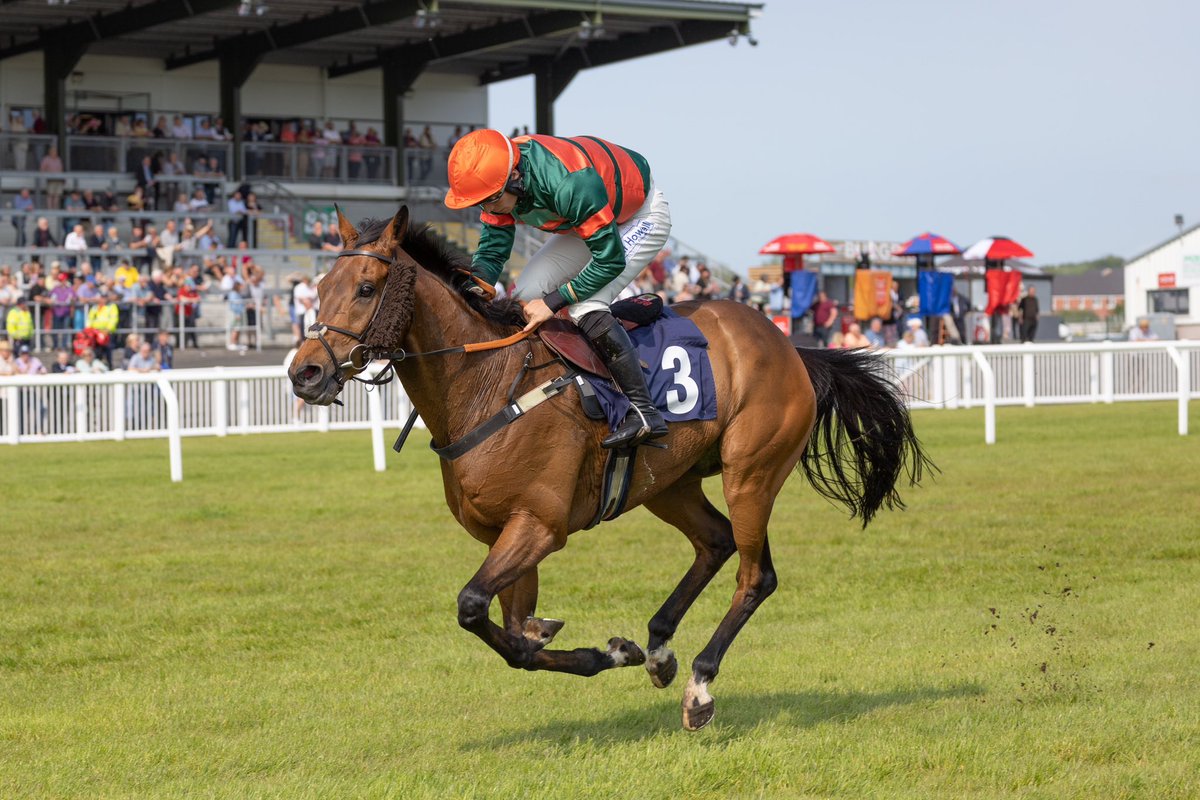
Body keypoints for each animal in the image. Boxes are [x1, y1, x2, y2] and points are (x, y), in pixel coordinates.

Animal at [288, 208, 926, 734]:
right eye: (318, 289)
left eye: (366, 288)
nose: (305, 373)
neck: (486, 384)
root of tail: (790, 345)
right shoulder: (507, 535)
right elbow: (516, 633)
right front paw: (606, 649)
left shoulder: (540, 526)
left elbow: (475, 609)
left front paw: (603, 653)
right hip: (668, 484)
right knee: (715, 543)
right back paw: (660, 648)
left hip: (752, 471)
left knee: (755, 576)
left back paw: (699, 686)